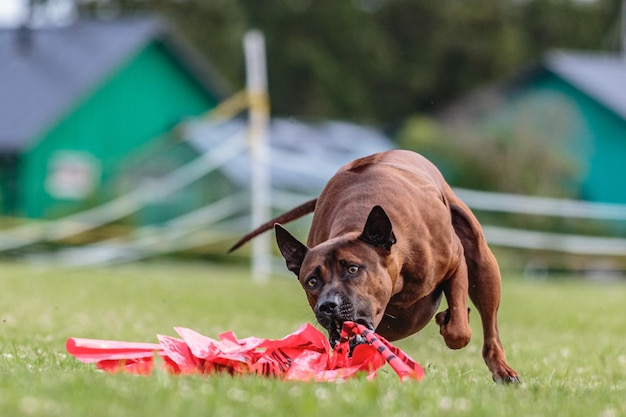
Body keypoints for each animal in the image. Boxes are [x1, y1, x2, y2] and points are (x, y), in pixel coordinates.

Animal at [229, 150, 516, 384]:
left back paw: (503, 369)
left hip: (483, 263)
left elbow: (459, 331)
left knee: (489, 325)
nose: (327, 306)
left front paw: (450, 321)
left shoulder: (455, 262)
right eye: (312, 281)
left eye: (353, 269)